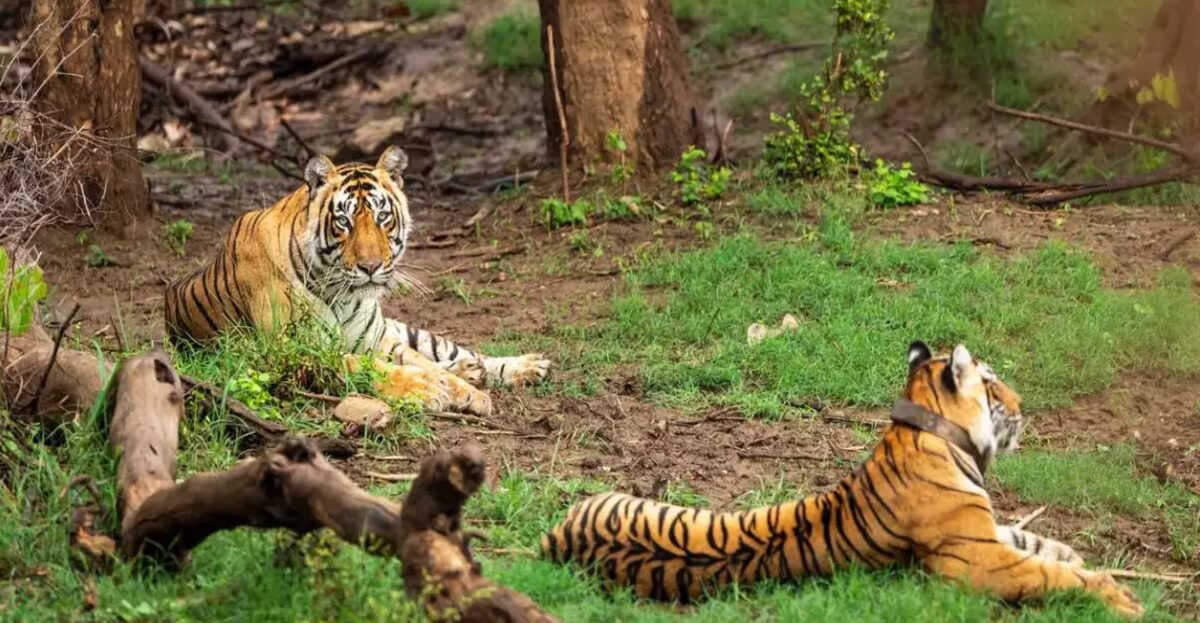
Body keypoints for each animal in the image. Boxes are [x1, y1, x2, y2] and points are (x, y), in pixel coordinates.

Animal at [164, 147, 551, 415]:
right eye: (344, 222)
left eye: (382, 217)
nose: (371, 266)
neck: (342, 293)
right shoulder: (298, 351)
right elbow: (381, 370)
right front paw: (431, 389)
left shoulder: (376, 340)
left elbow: (418, 361)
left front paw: (468, 391)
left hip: (400, 330)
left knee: (454, 351)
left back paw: (523, 366)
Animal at [542, 341, 1142, 618]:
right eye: (993, 385)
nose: (1023, 406)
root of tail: (554, 540)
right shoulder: (976, 560)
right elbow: (1049, 574)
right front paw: (1120, 597)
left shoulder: (986, 531)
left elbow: (1037, 541)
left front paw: (1075, 555)